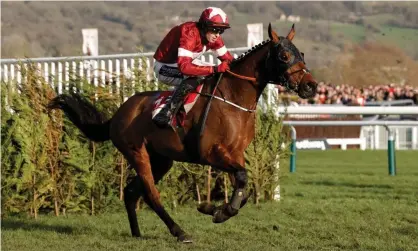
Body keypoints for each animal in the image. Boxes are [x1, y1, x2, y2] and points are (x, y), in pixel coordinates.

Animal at [47, 24, 316, 243]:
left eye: (302, 54)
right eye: (284, 55)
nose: (311, 86)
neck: (233, 99)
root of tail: (119, 113)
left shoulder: (235, 154)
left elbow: (243, 187)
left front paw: (216, 210)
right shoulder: (210, 154)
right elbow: (242, 178)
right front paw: (216, 211)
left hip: (161, 160)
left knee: (132, 192)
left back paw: (137, 233)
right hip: (137, 153)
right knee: (150, 194)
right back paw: (179, 232)